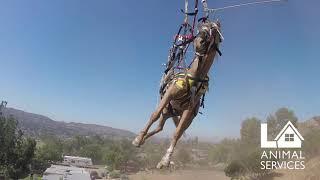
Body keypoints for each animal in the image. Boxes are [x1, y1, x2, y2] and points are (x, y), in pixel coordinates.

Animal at [132, 20, 222, 169]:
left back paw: (146, 141)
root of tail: (171, 113)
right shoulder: (169, 94)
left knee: (163, 128)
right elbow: (154, 115)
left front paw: (165, 159)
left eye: (213, 30)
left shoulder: (189, 110)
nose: (199, 42)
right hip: (166, 110)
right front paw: (138, 138)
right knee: (158, 123)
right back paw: (141, 139)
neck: (194, 77)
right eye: (200, 28)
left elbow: (177, 132)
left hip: (180, 116)